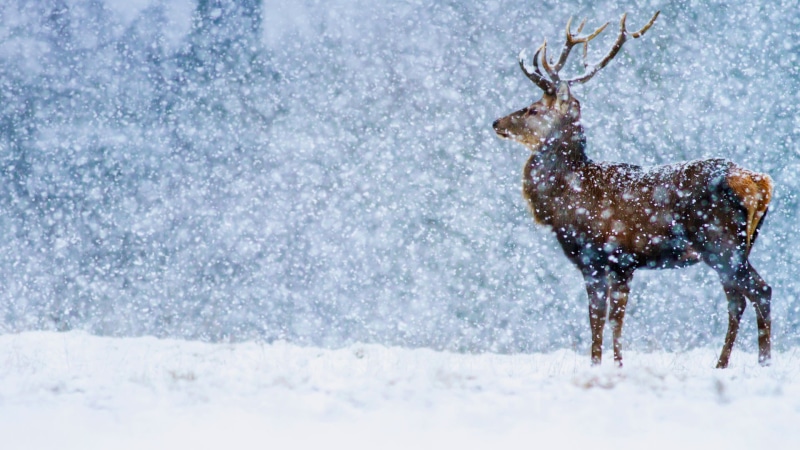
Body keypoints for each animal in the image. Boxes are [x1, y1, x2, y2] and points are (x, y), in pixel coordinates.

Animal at [492, 12, 773, 368]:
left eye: (533, 109)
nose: (497, 123)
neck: (565, 201)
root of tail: (759, 182)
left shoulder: (598, 256)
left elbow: (599, 319)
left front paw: (600, 365)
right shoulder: (623, 265)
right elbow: (614, 319)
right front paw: (614, 364)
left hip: (721, 244)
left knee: (760, 291)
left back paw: (761, 363)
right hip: (738, 247)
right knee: (737, 299)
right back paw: (724, 364)